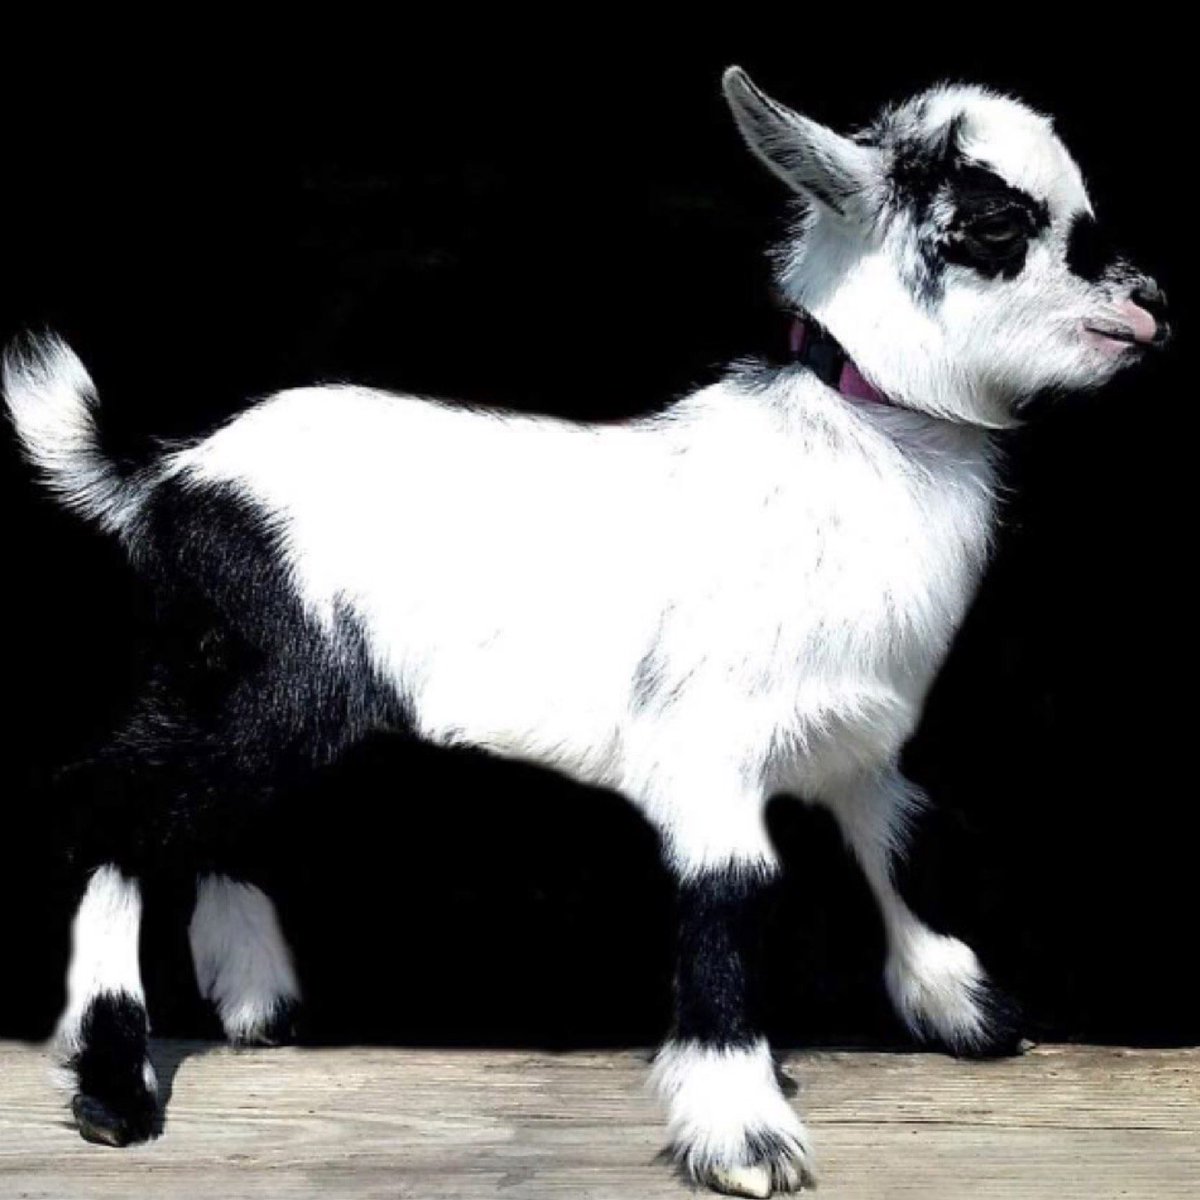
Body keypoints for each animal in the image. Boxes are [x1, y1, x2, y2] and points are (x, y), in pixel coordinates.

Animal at [3, 67, 1167, 1196]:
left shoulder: (862, 747)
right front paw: (744, 1138)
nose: (1148, 304)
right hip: (261, 679)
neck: (849, 444)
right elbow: (731, 900)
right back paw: (112, 1085)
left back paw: (252, 1001)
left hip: (258, 694)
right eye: (994, 225)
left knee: (195, 816)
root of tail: (162, 481)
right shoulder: (710, 754)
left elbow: (899, 850)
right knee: (109, 804)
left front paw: (965, 1011)